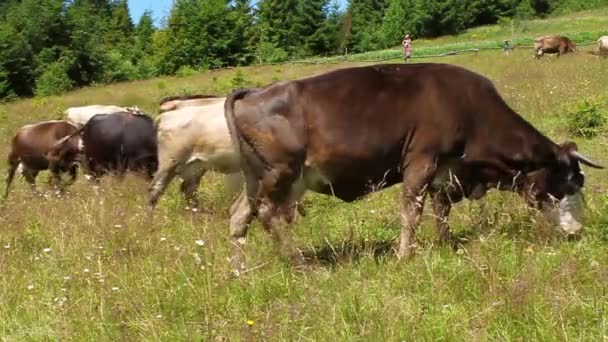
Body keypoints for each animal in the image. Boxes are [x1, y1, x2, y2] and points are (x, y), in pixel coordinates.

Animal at [224, 63, 604, 272]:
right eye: (570, 181)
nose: (577, 231)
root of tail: (254, 94)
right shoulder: (421, 161)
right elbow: (412, 212)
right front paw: (404, 256)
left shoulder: (447, 172)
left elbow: (441, 210)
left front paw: (446, 244)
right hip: (280, 175)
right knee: (269, 215)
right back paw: (301, 264)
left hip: (257, 180)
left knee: (240, 215)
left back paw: (240, 271)